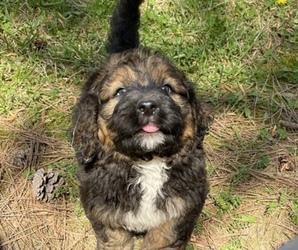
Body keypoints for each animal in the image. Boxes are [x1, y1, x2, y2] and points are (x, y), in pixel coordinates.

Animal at [71, 0, 210, 249]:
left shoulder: (182, 205)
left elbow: (163, 235)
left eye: (167, 88)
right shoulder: (103, 208)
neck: (148, 162)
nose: (148, 106)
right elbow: (114, 238)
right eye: (120, 91)